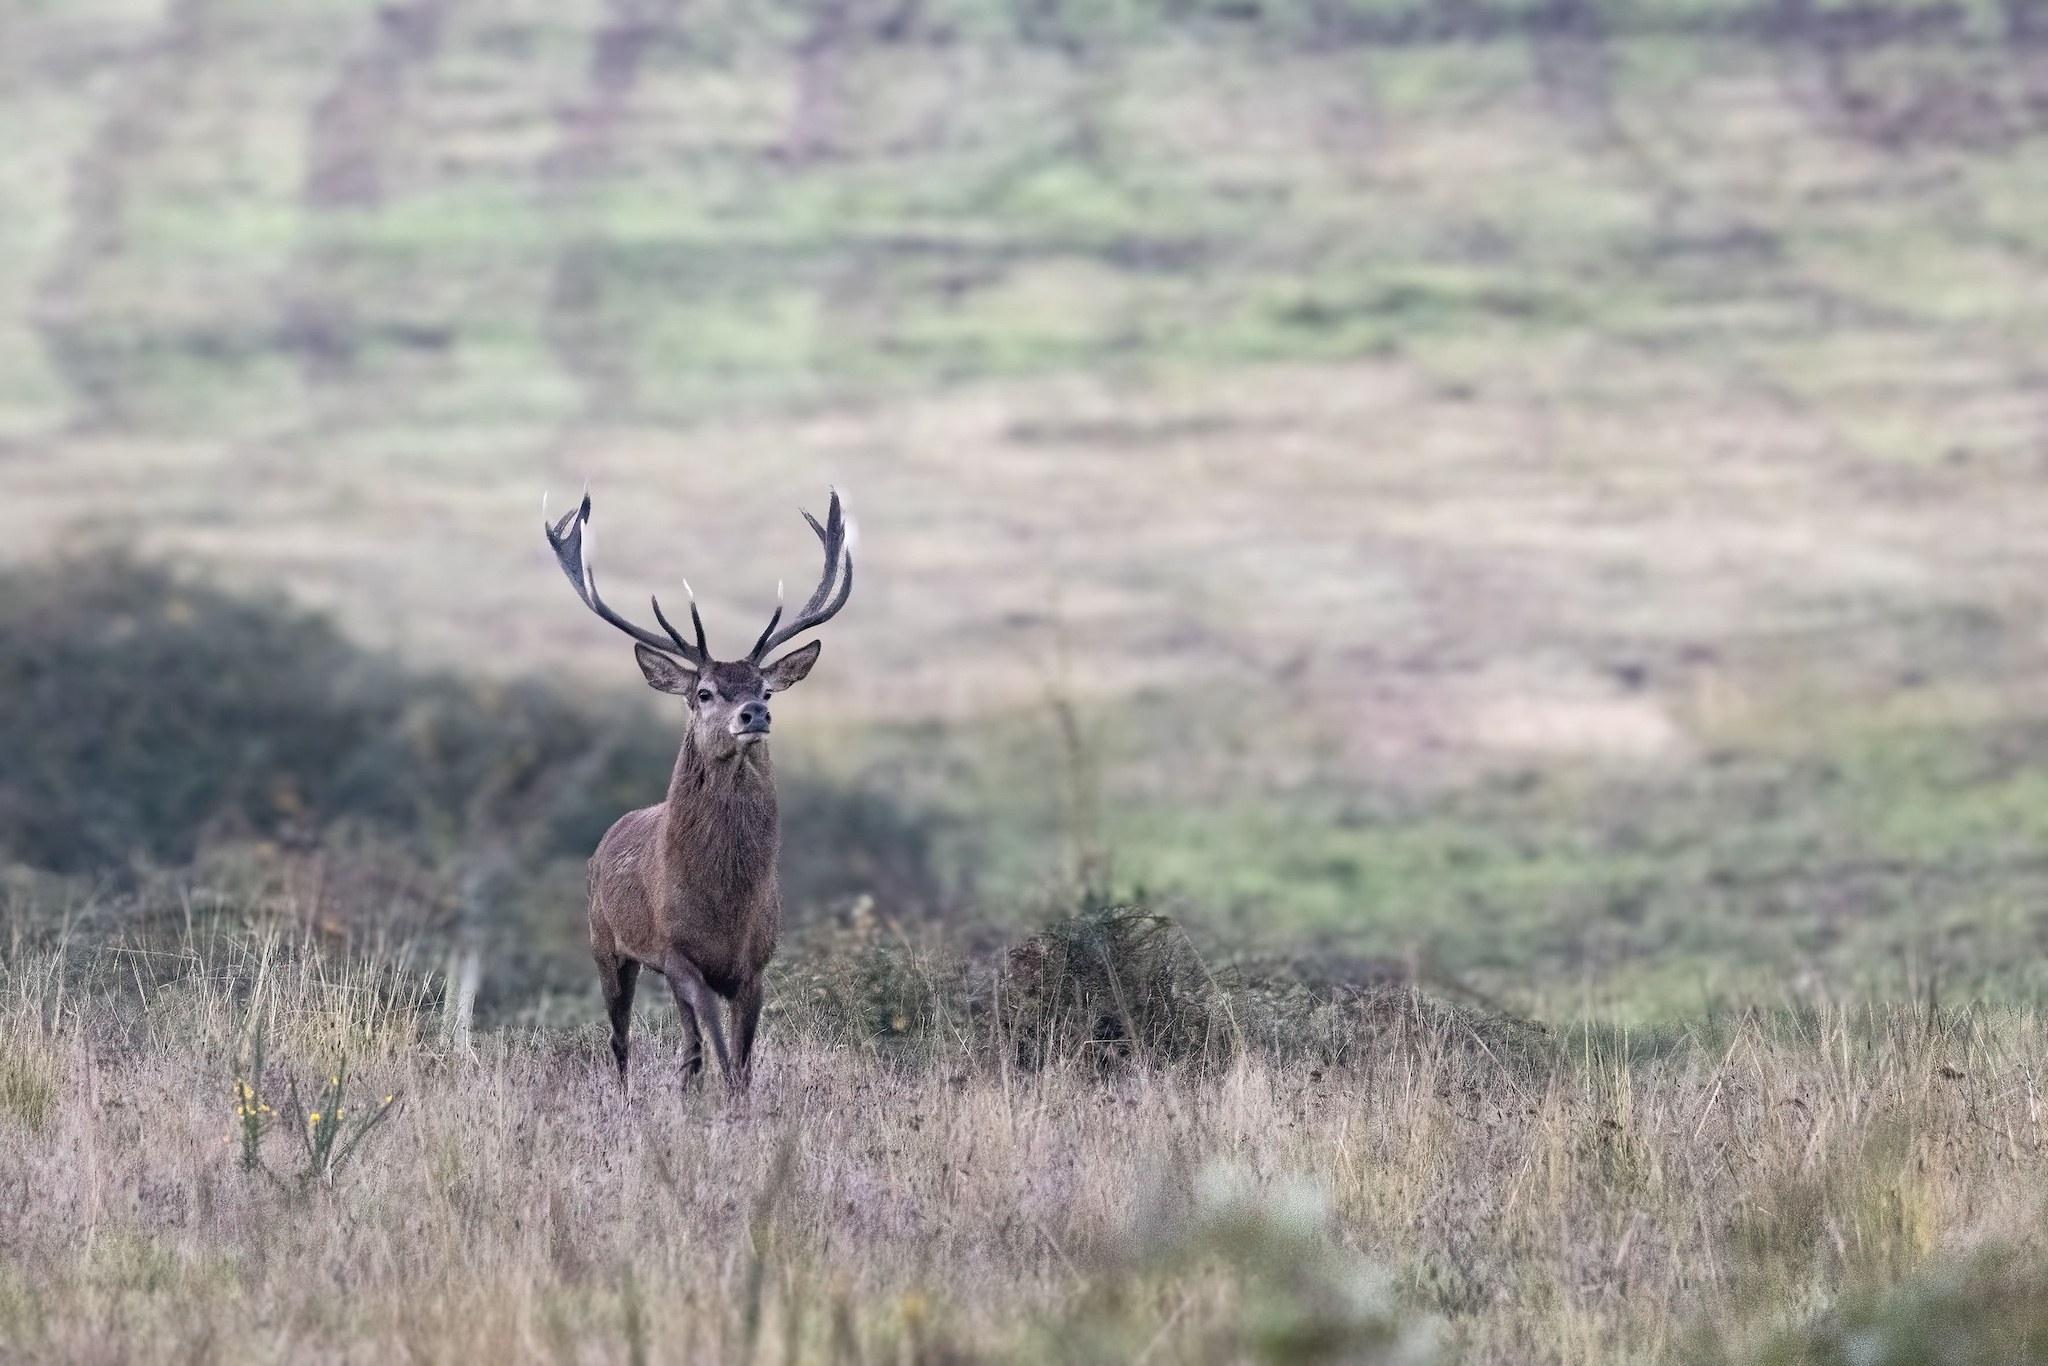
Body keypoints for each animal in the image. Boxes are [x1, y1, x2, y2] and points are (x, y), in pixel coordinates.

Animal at [542, 486, 853, 1090]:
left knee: (687, 1048)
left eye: (766, 689)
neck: (722, 906)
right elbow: (714, 1049)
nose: (754, 713)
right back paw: (624, 1095)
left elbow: (740, 1063)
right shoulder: (678, 954)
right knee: (620, 1039)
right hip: (606, 943)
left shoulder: (753, 966)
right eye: (705, 692)